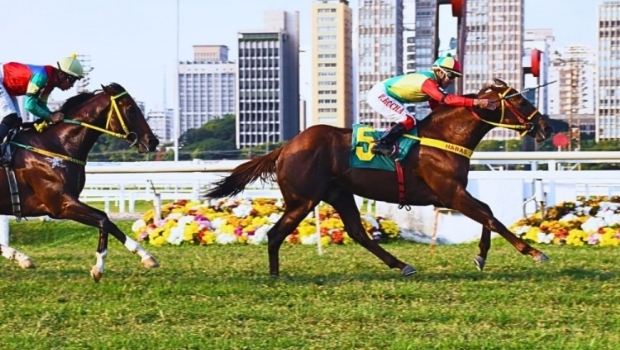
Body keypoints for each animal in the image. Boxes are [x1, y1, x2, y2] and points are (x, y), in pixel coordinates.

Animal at [0, 83, 162, 284]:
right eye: (131, 110)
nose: (153, 141)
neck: (55, 146)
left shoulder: (64, 203)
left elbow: (106, 219)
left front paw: (145, 256)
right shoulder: (60, 205)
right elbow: (104, 220)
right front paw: (99, 268)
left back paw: (21, 258)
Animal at [206, 78, 556, 276]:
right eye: (520, 99)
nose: (546, 127)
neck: (444, 136)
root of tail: (285, 147)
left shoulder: (452, 194)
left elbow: (488, 216)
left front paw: (481, 257)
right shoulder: (451, 193)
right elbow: (491, 219)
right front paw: (534, 252)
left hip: (338, 193)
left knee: (358, 233)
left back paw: (401, 265)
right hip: (303, 200)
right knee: (275, 234)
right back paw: (275, 276)